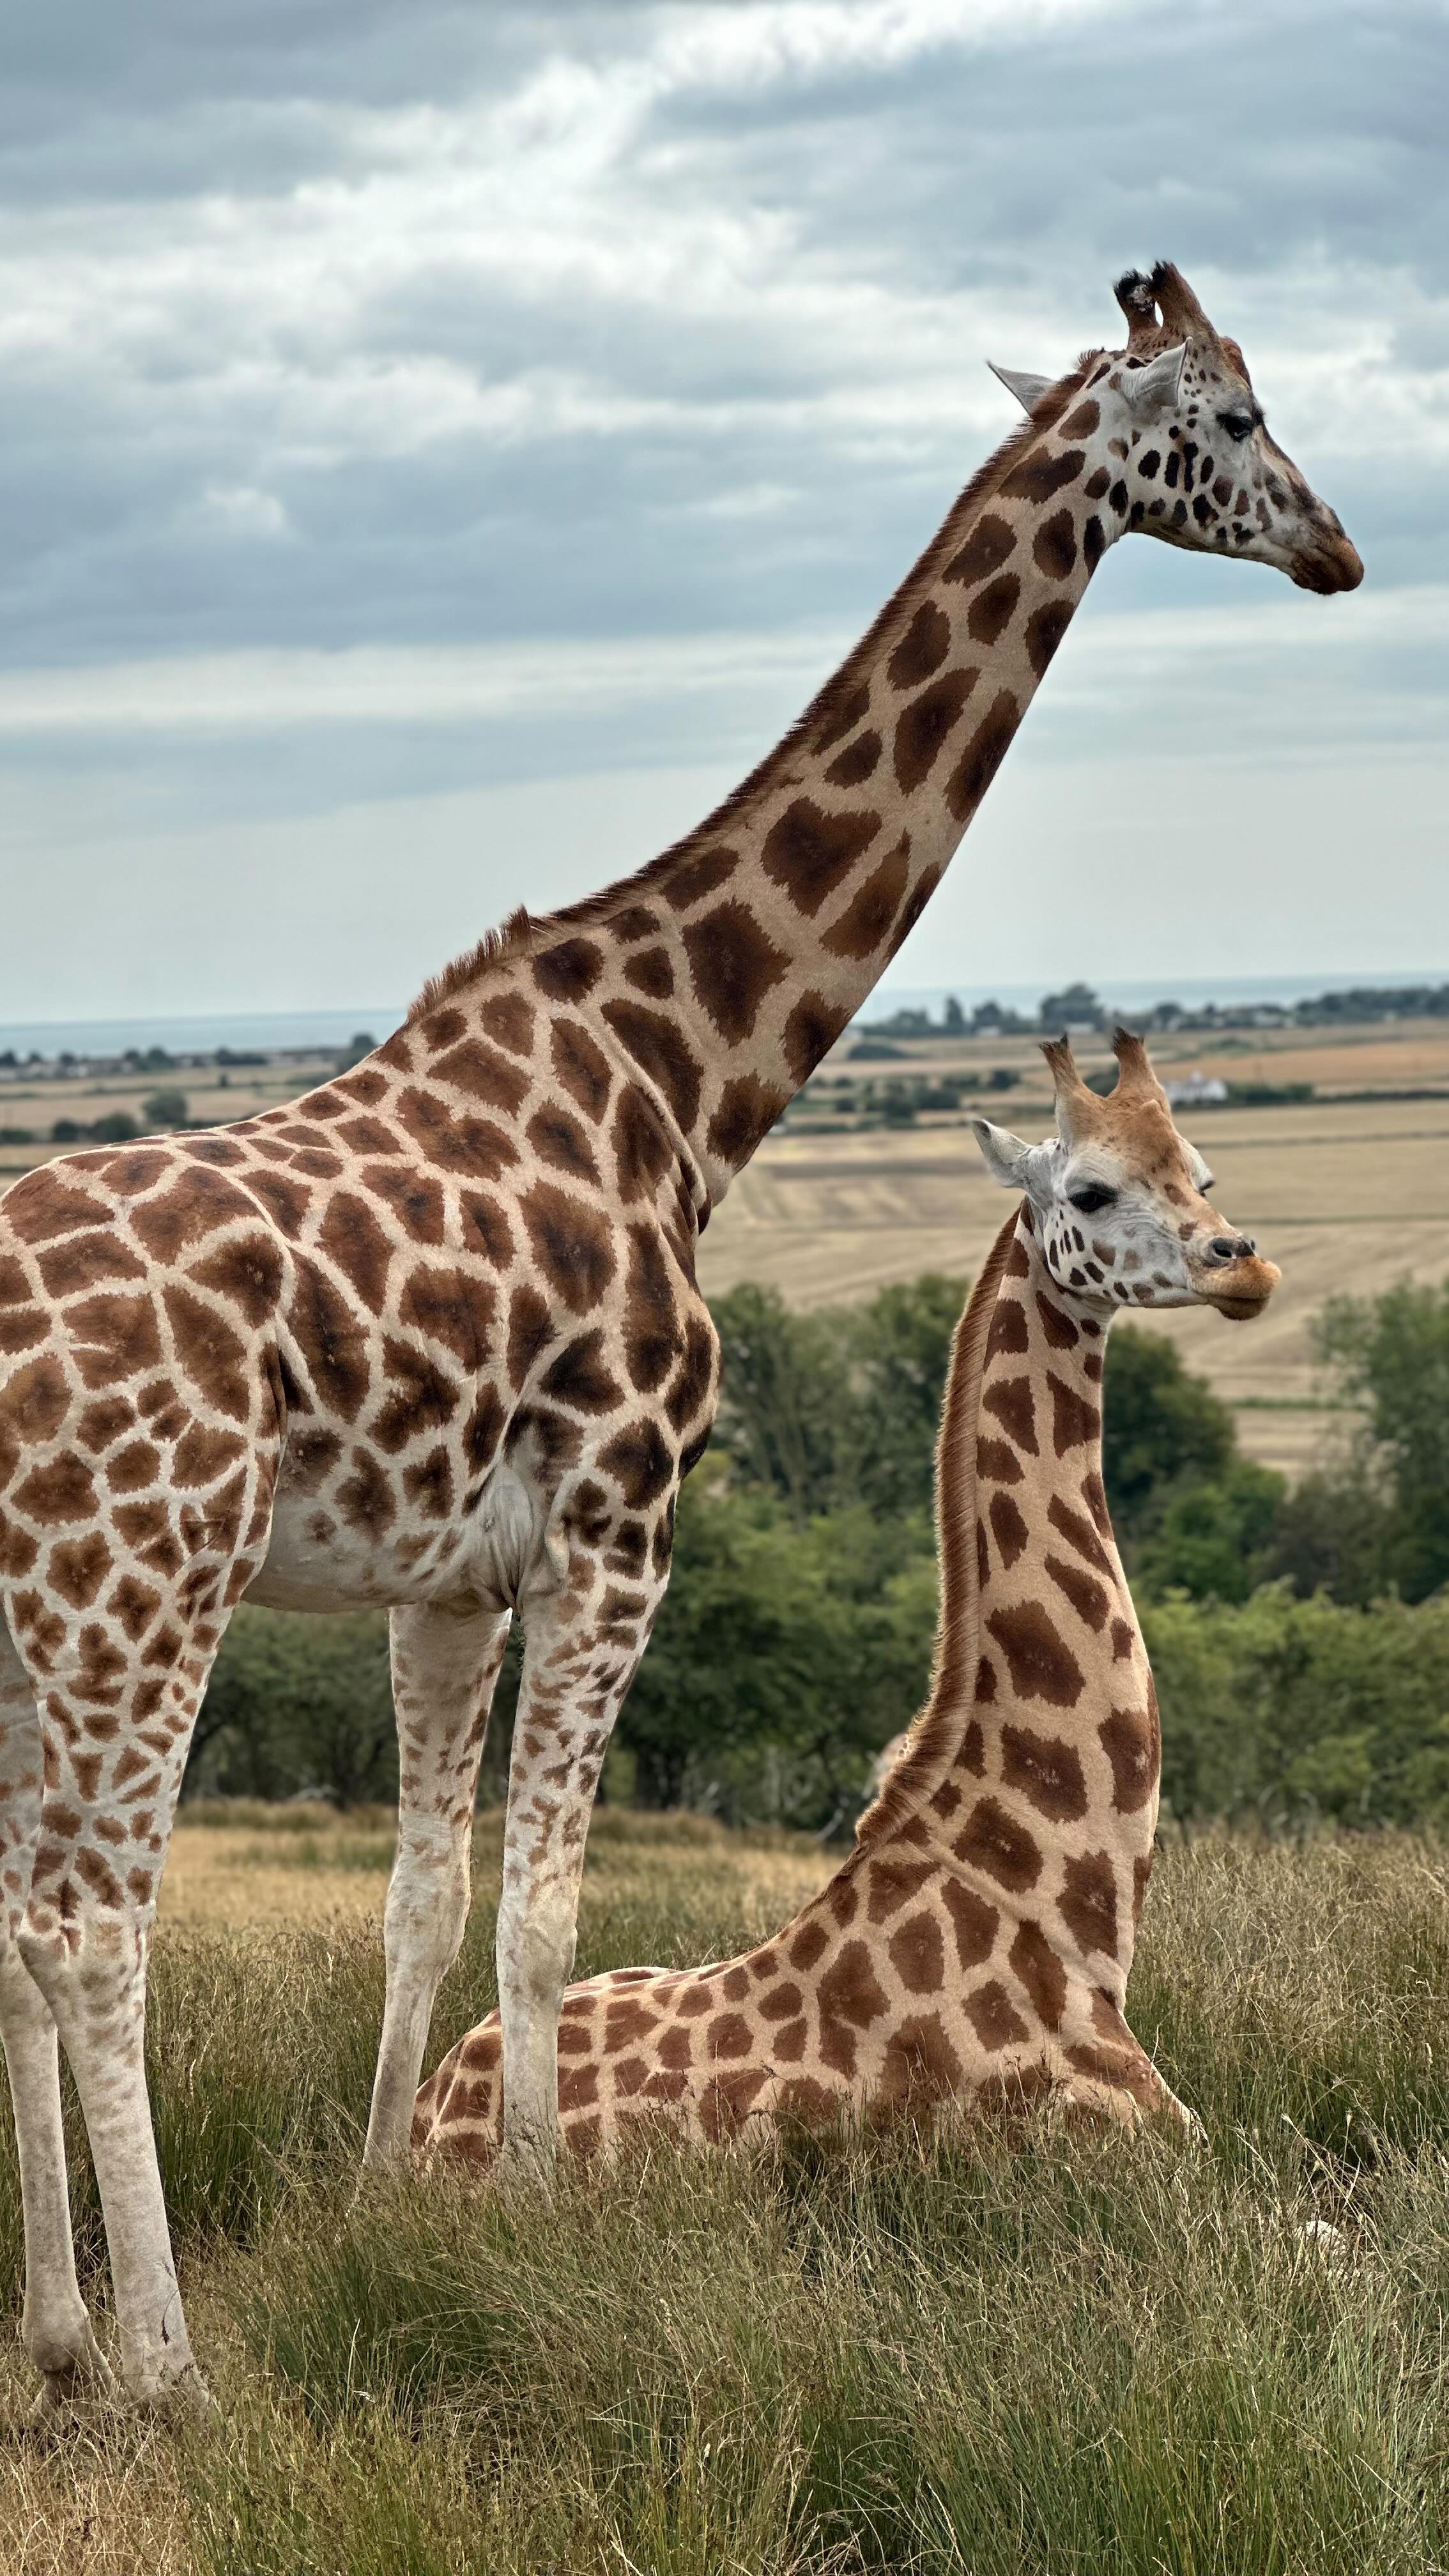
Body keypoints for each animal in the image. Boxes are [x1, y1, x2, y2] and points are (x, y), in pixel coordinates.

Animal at [410, 1035, 1273, 2163]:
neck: (1052, 1891)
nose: (1244, 1264)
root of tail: (426, 2121)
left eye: (1201, 1177)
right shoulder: (1147, 2134)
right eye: (1091, 1190)